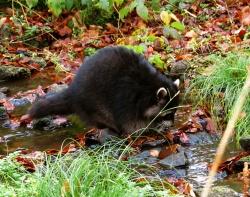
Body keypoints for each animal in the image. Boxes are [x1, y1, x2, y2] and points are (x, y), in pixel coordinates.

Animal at [28, 46, 179, 135]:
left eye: (174, 113)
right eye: (168, 114)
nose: (172, 125)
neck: (149, 86)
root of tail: (72, 91)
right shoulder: (126, 97)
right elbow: (131, 123)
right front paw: (149, 128)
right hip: (92, 101)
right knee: (103, 115)